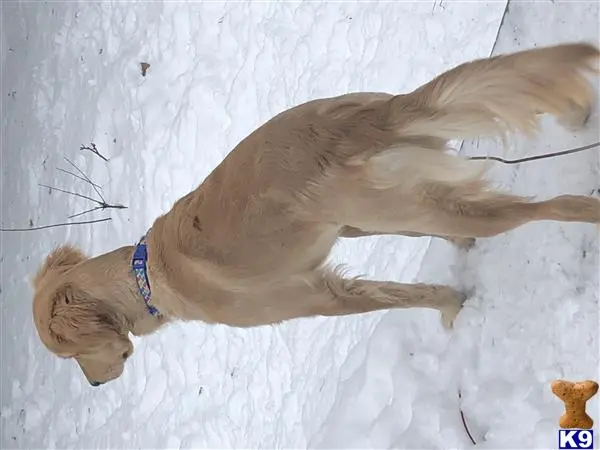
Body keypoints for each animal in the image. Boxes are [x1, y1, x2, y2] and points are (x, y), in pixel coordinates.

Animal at [30, 43, 596, 386]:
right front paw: (458, 272)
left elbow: (406, 296)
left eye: (69, 355)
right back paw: (578, 116)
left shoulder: (320, 297)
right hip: (403, 176)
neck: (147, 273)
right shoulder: (353, 228)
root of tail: (349, 126)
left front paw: (452, 305)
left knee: (557, 206)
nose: (95, 384)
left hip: (420, 199)